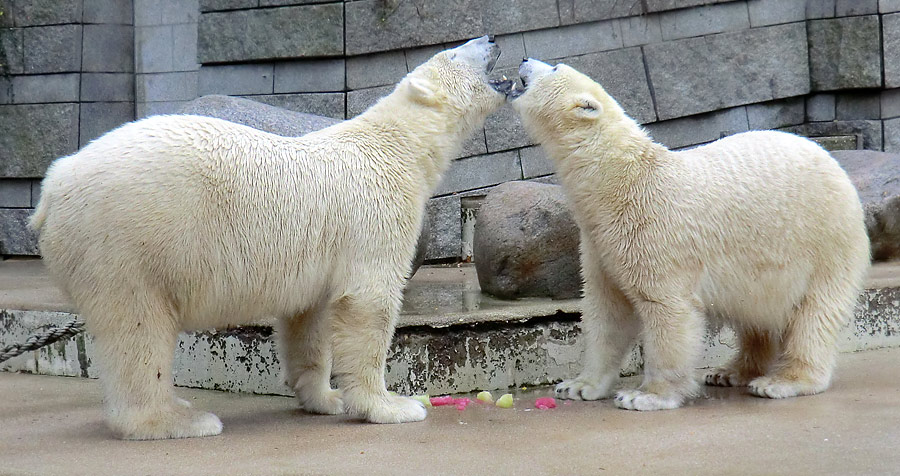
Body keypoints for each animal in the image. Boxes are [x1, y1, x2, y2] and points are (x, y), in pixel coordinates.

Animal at [31, 36, 510, 438]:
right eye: (455, 52)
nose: (490, 38)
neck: (394, 144)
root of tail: (53, 187)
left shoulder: (321, 248)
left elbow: (310, 316)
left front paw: (326, 398)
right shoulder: (374, 212)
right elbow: (367, 301)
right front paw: (390, 405)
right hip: (125, 240)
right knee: (138, 328)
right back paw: (181, 419)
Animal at [512, 58, 872, 410]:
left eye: (555, 67)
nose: (525, 59)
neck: (621, 180)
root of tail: (835, 164)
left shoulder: (654, 232)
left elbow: (667, 308)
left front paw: (646, 395)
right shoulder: (601, 242)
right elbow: (607, 310)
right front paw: (578, 386)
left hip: (824, 243)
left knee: (815, 314)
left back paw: (780, 381)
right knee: (756, 315)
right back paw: (730, 371)